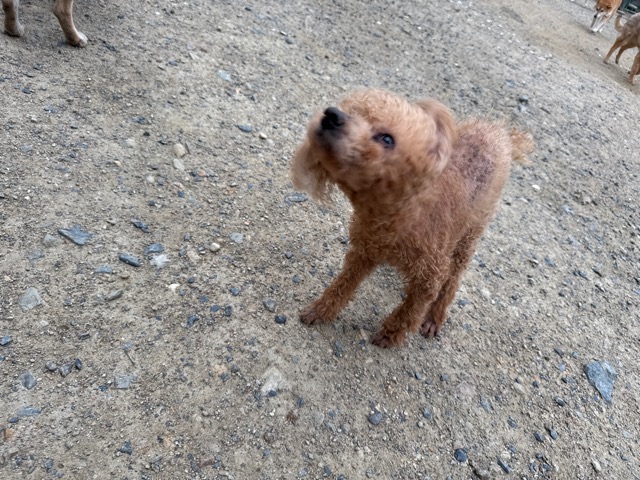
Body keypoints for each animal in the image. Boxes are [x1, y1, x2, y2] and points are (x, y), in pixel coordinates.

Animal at [292, 89, 533, 348]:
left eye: (387, 139)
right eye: (352, 110)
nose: (332, 115)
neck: (400, 214)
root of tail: (501, 133)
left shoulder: (430, 275)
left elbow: (411, 310)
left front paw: (390, 335)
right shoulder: (363, 252)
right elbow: (342, 285)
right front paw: (320, 310)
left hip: (471, 232)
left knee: (453, 279)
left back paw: (435, 317)